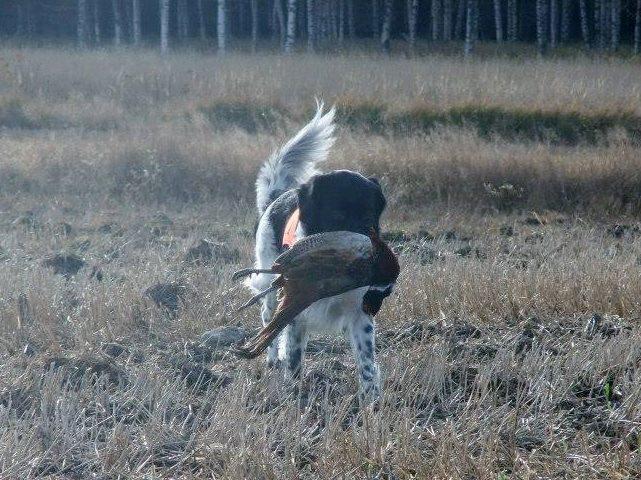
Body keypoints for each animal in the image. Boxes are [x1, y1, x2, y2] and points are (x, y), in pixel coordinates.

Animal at [248, 105, 392, 402]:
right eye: (337, 215)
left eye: (370, 217)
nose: (366, 250)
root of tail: (276, 198)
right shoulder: (294, 305)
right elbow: (293, 358)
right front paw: (294, 398)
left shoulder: (360, 312)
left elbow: (367, 362)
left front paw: (372, 401)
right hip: (270, 283)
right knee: (269, 318)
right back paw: (272, 358)